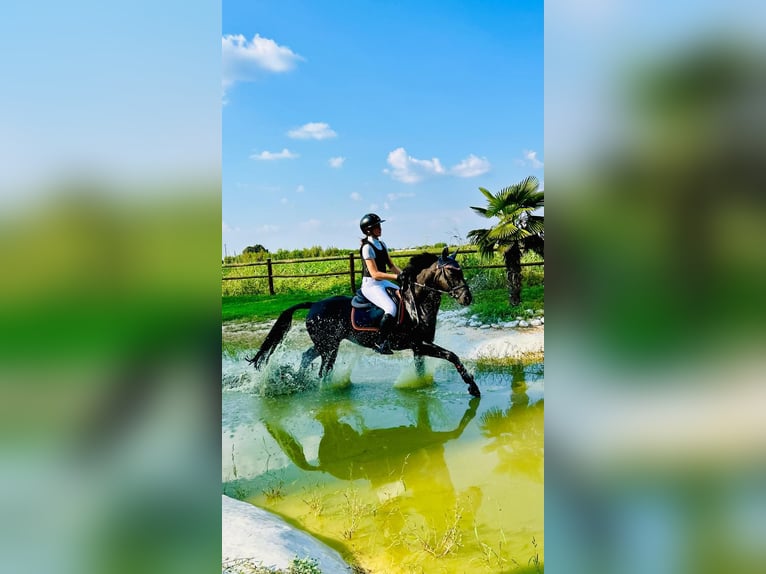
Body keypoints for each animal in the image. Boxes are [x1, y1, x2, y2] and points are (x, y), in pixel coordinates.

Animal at [249, 245, 484, 398]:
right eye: (452, 272)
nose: (467, 298)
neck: (415, 304)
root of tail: (314, 304)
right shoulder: (419, 344)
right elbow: (452, 356)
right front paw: (473, 387)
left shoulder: (418, 347)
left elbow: (423, 368)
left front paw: (422, 386)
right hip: (329, 348)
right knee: (323, 372)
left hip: (325, 344)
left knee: (307, 356)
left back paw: (299, 381)